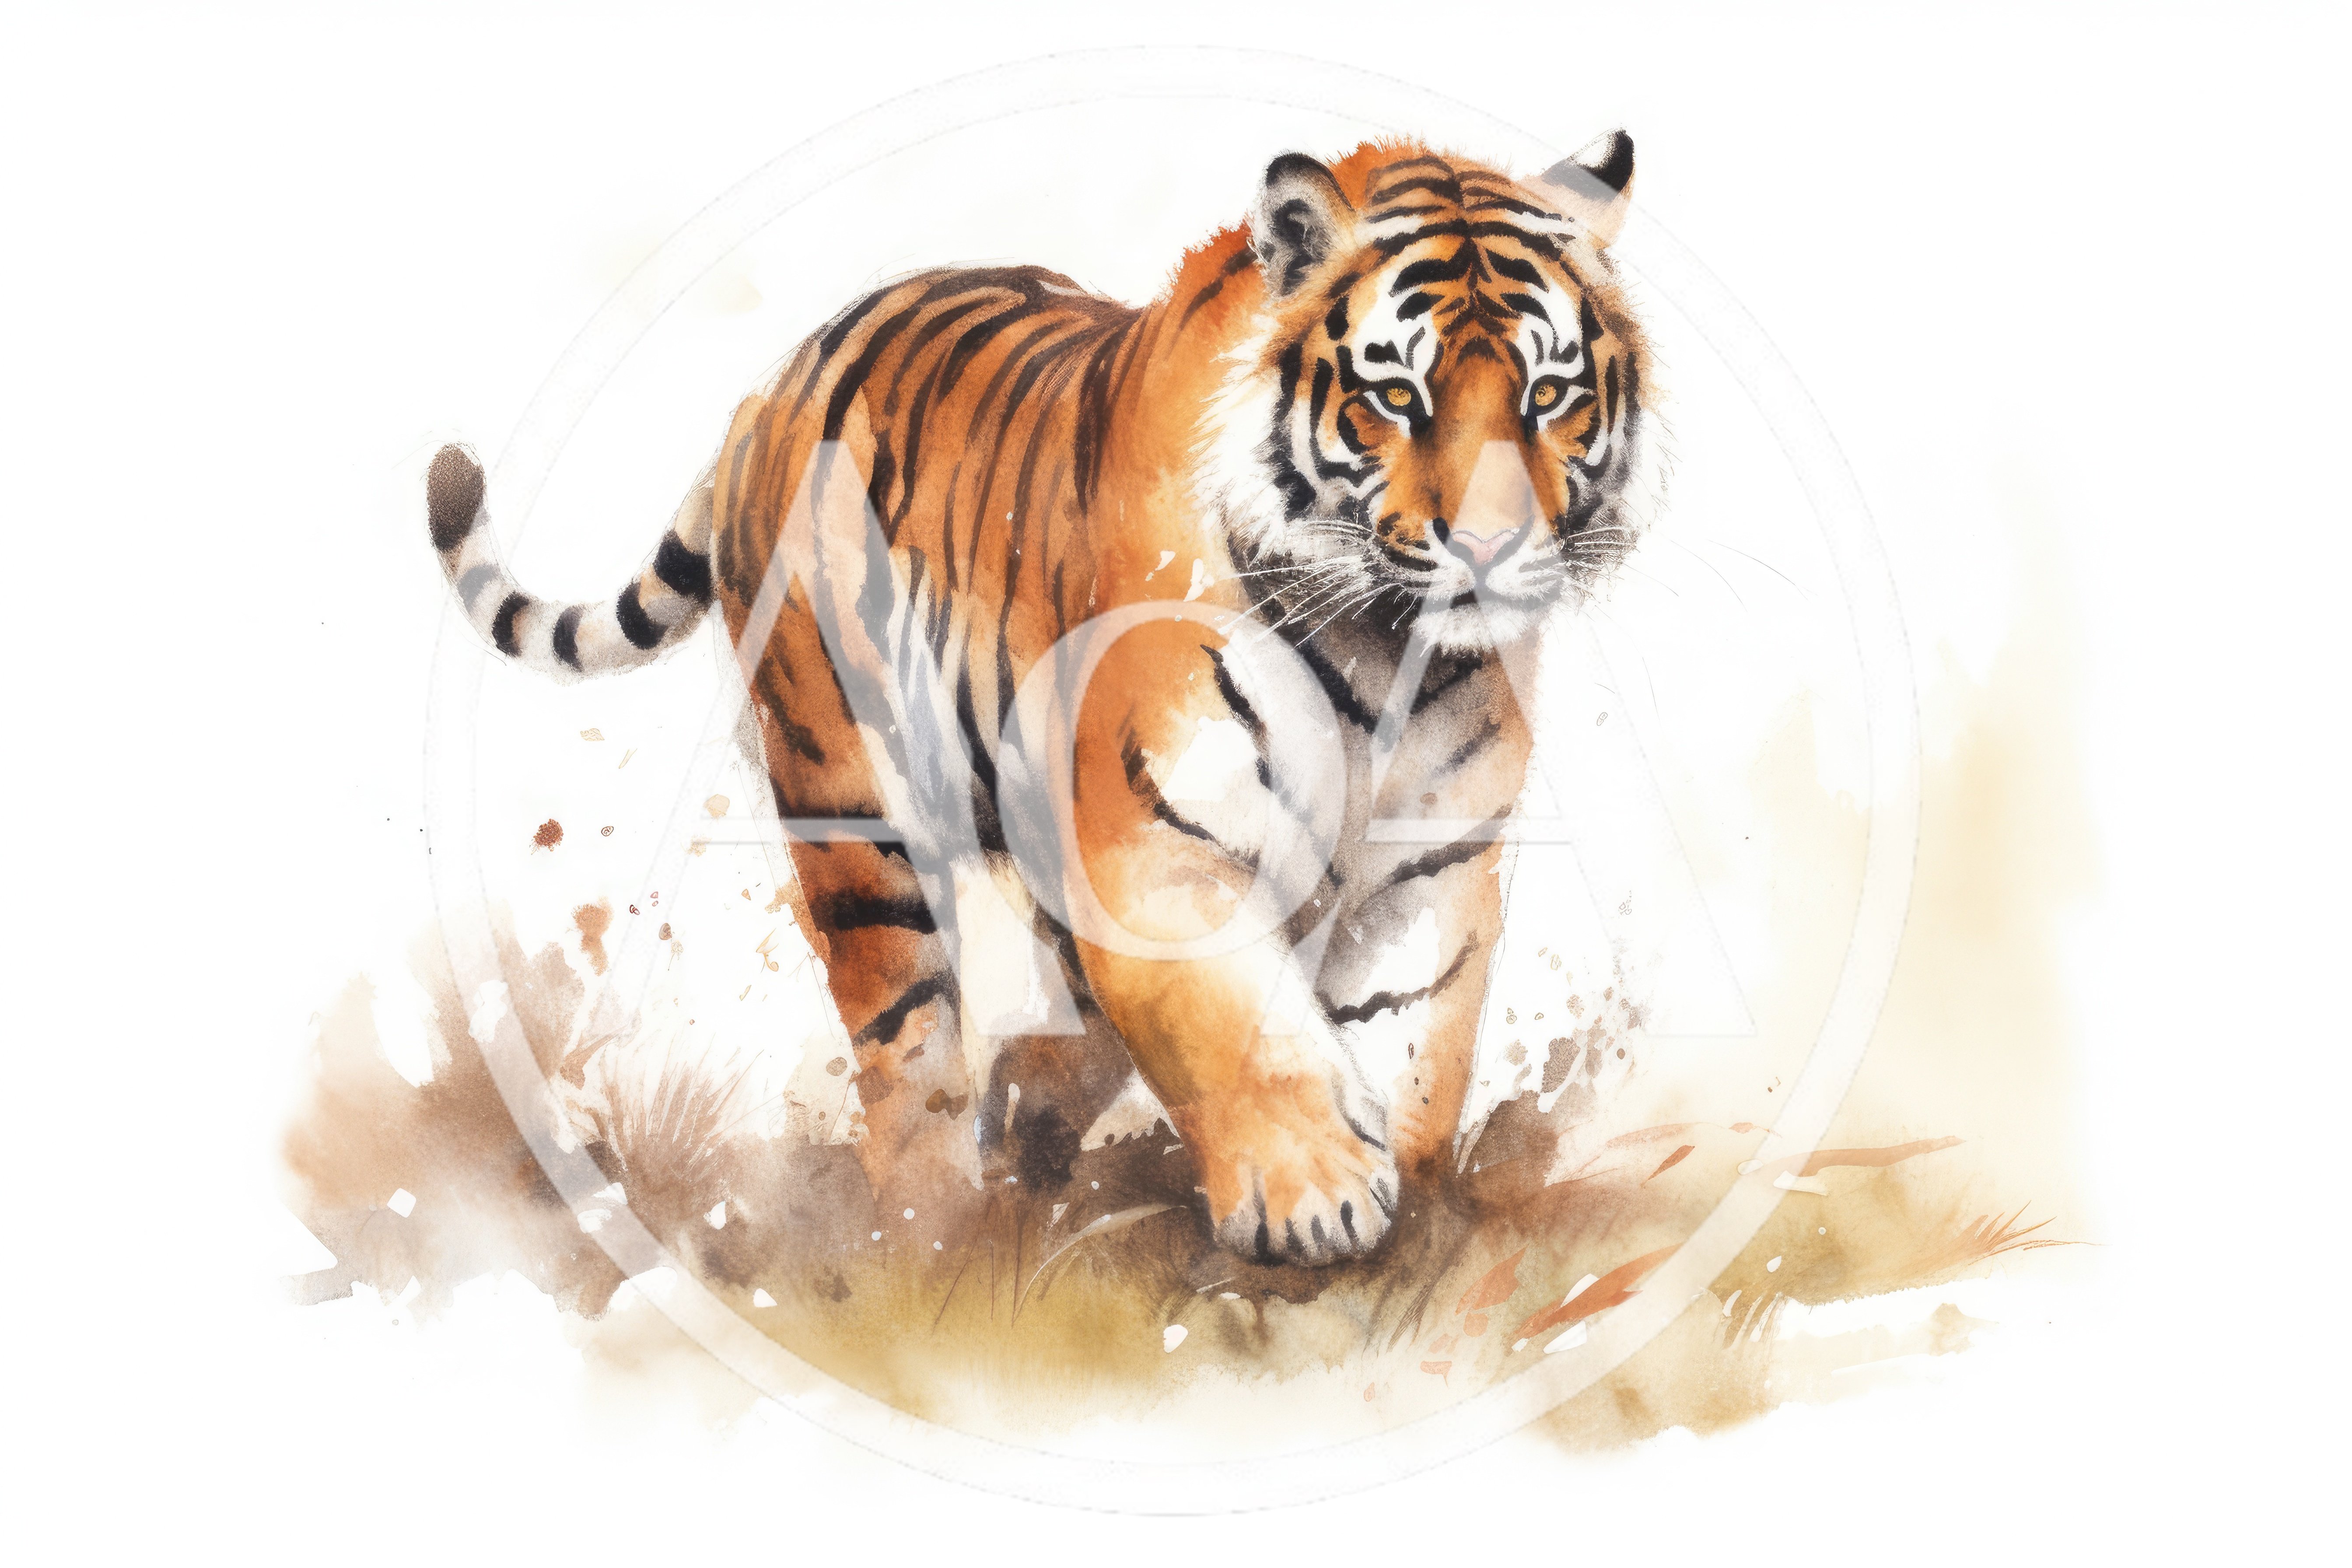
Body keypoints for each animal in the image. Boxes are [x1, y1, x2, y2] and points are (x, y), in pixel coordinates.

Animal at [426, 133, 1655, 1266]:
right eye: (1397, 394)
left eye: (1549, 394)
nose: (1491, 549)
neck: (1382, 652)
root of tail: (771, 389)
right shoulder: (1154, 850)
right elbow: (1240, 1028)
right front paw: (1313, 1199)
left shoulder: (1430, 869)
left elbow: (1409, 1039)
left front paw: (1410, 1212)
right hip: (845, 794)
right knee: (905, 1041)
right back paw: (930, 1226)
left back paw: (1033, 1122)